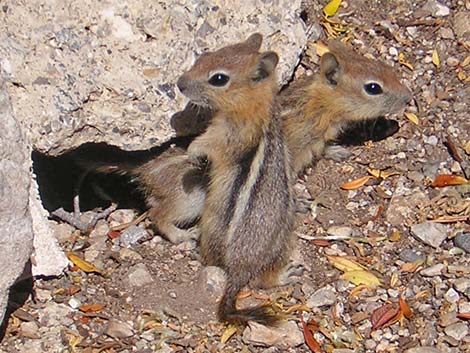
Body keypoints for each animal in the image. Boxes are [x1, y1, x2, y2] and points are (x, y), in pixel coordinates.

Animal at [176, 34, 294, 324]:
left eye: (219, 79)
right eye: (205, 55)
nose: (180, 83)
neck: (255, 103)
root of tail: (241, 267)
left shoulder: (228, 135)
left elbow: (206, 144)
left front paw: (192, 153)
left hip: (212, 229)